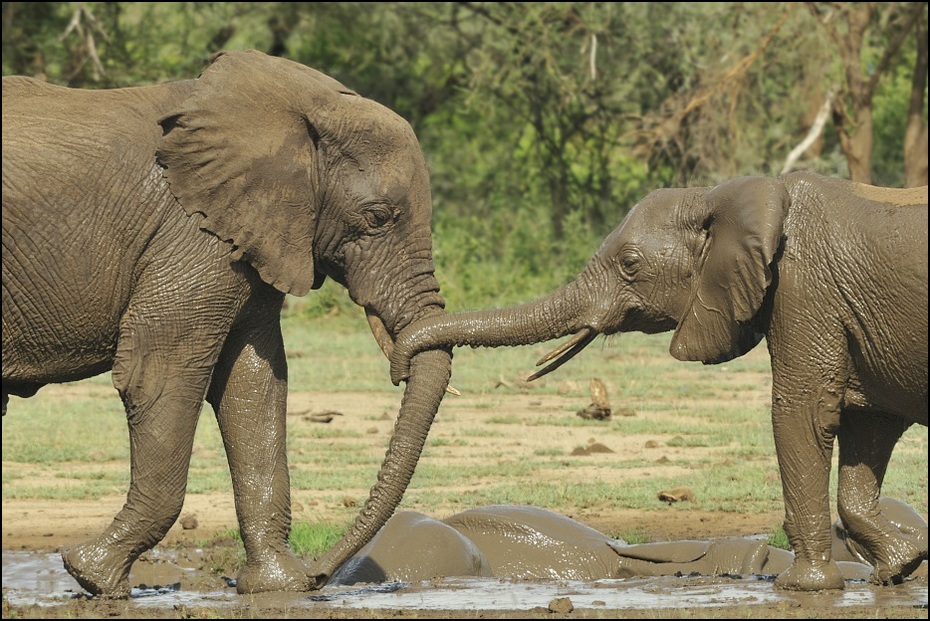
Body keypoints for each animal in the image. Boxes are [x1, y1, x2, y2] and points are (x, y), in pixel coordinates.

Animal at [0, 50, 450, 600]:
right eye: (379, 217)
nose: (322, 574)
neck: (306, 105)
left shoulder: (250, 236)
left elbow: (252, 386)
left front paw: (277, 588)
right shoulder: (195, 233)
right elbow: (159, 374)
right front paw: (93, 577)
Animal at [388, 170, 924, 592]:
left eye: (630, 265)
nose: (398, 368)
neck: (728, 194)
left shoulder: (805, 290)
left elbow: (802, 412)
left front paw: (803, 588)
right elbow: (868, 425)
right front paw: (896, 572)